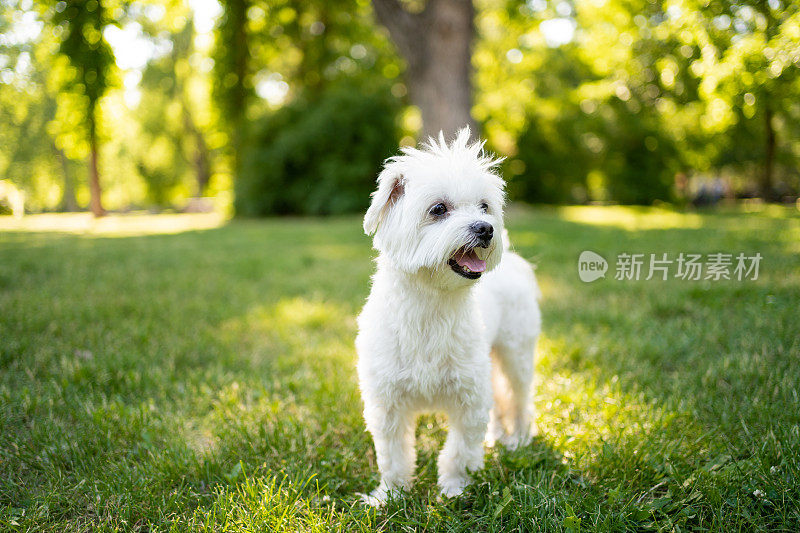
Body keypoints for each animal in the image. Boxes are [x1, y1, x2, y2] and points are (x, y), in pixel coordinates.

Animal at [358, 129, 540, 502]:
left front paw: (454, 488)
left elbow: (459, 450)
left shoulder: (469, 398)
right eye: (438, 209)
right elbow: (393, 455)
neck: (431, 305)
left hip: (516, 353)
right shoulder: (387, 404)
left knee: (519, 397)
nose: (486, 228)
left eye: (484, 206)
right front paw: (390, 495)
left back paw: (519, 438)